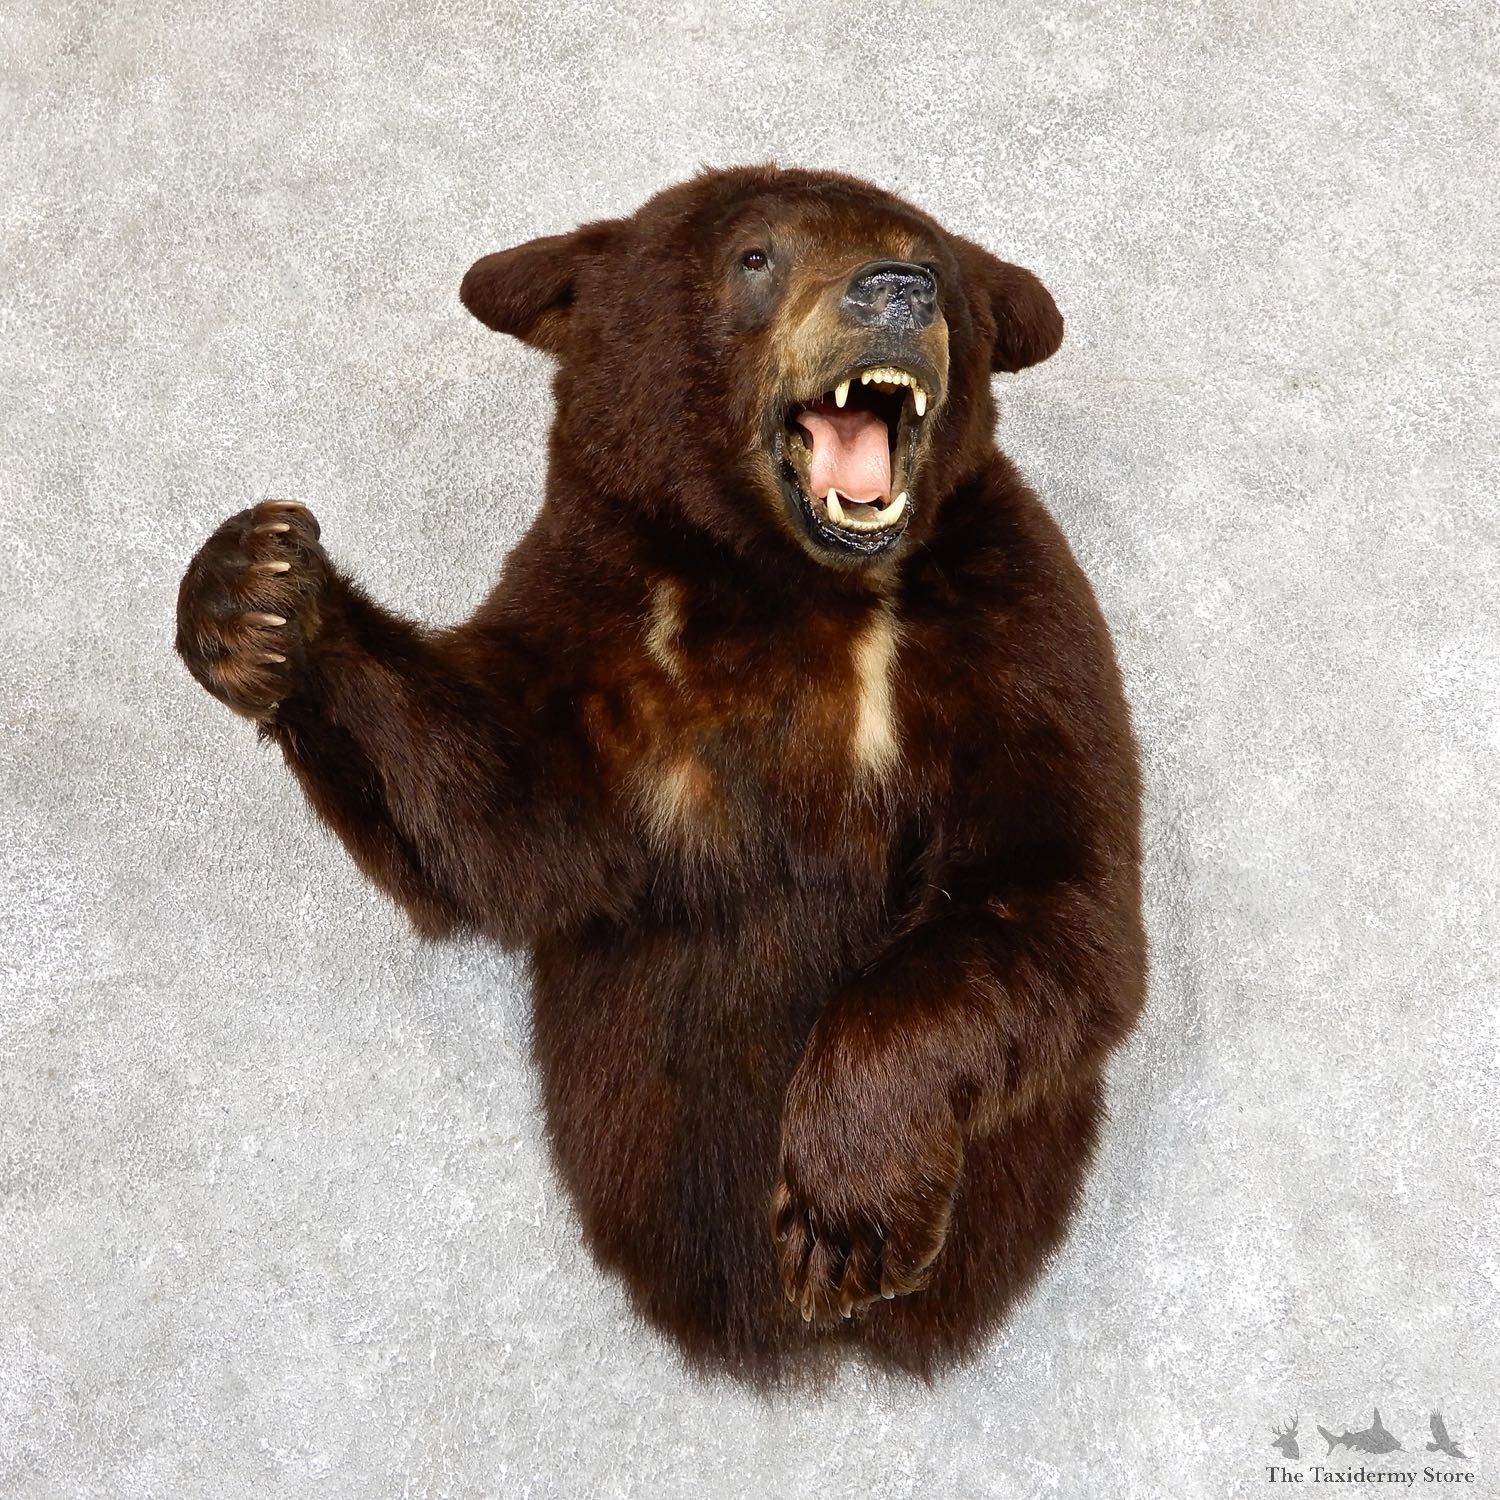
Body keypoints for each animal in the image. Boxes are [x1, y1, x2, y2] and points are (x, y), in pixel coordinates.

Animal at [175, 165, 1147, 1385]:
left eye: (937, 259)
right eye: (756, 257)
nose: (896, 290)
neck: (780, 585)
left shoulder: (1008, 621)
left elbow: (1051, 887)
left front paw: (845, 1220)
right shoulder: (602, 615)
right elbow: (498, 814)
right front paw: (260, 594)